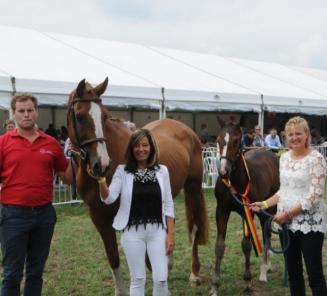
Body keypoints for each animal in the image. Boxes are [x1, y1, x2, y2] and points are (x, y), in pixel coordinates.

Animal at [67, 77, 209, 294]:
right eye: (79, 116)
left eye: (105, 116)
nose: (102, 164)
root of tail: (187, 130)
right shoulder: (99, 216)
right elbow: (113, 257)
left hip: (192, 188)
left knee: (193, 229)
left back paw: (194, 273)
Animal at [211, 121, 280, 296]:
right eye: (219, 140)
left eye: (236, 141)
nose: (223, 172)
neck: (235, 183)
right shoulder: (221, 211)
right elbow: (219, 246)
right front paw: (215, 284)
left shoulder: (247, 211)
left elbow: (246, 245)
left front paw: (248, 282)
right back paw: (267, 266)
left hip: (268, 207)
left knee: (266, 233)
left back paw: (263, 270)